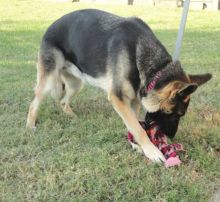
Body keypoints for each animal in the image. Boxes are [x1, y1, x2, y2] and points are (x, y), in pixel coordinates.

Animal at [25, 9, 211, 163]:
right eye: (172, 114)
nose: (170, 138)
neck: (156, 68)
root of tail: (50, 26)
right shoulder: (118, 98)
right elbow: (138, 127)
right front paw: (152, 151)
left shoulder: (133, 101)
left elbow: (134, 125)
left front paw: (137, 145)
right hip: (49, 80)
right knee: (34, 103)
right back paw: (30, 125)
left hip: (77, 83)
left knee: (63, 101)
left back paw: (71, 116)